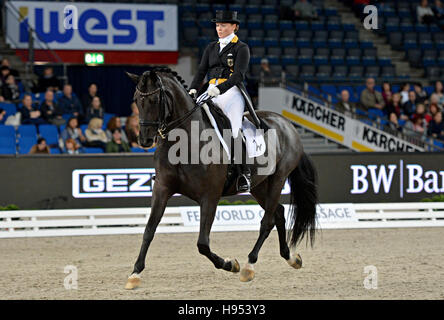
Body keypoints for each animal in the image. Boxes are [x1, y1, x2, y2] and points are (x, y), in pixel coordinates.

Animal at [125, 66, 320, 288]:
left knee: (267, 221)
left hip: (278, 179)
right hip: (259, 185)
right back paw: (291, 258)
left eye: (155, 99)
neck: (184, 140)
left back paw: (249, 266)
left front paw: (230, 264)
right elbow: (149, 229)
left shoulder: (210, 196)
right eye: (136, 99)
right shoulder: (162, 188)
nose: (144, 139)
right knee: (278, 212)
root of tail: (287, 123)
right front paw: (135, 273)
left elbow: (202, 243)